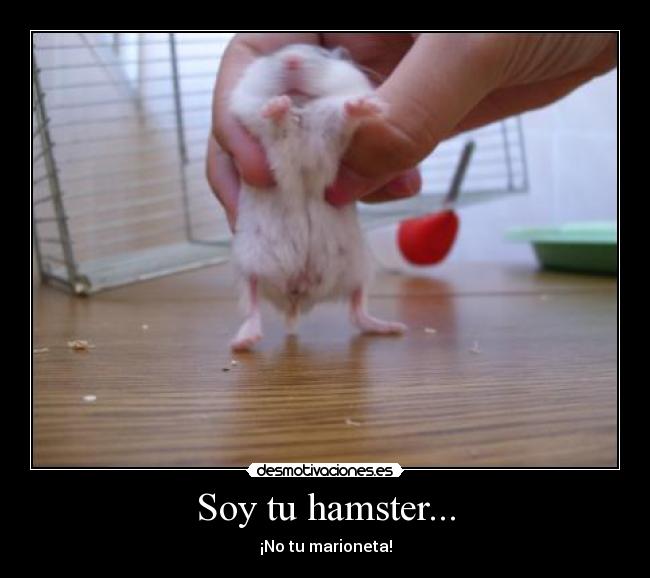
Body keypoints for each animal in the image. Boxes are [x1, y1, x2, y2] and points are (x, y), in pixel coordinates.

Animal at [228, 44, 406, 351]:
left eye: (321, 54)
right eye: (274, 53)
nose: (292, 60)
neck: (304, 106)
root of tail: (298, 296)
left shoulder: (332, 135)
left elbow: (342, 115)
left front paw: (366, 105)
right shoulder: (254, 119)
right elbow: (272, 122)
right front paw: (278, 104)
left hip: (359, 267)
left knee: (358, 309)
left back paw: (394, 328)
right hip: (248, 263)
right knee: (252, 304)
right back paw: (243, 341)